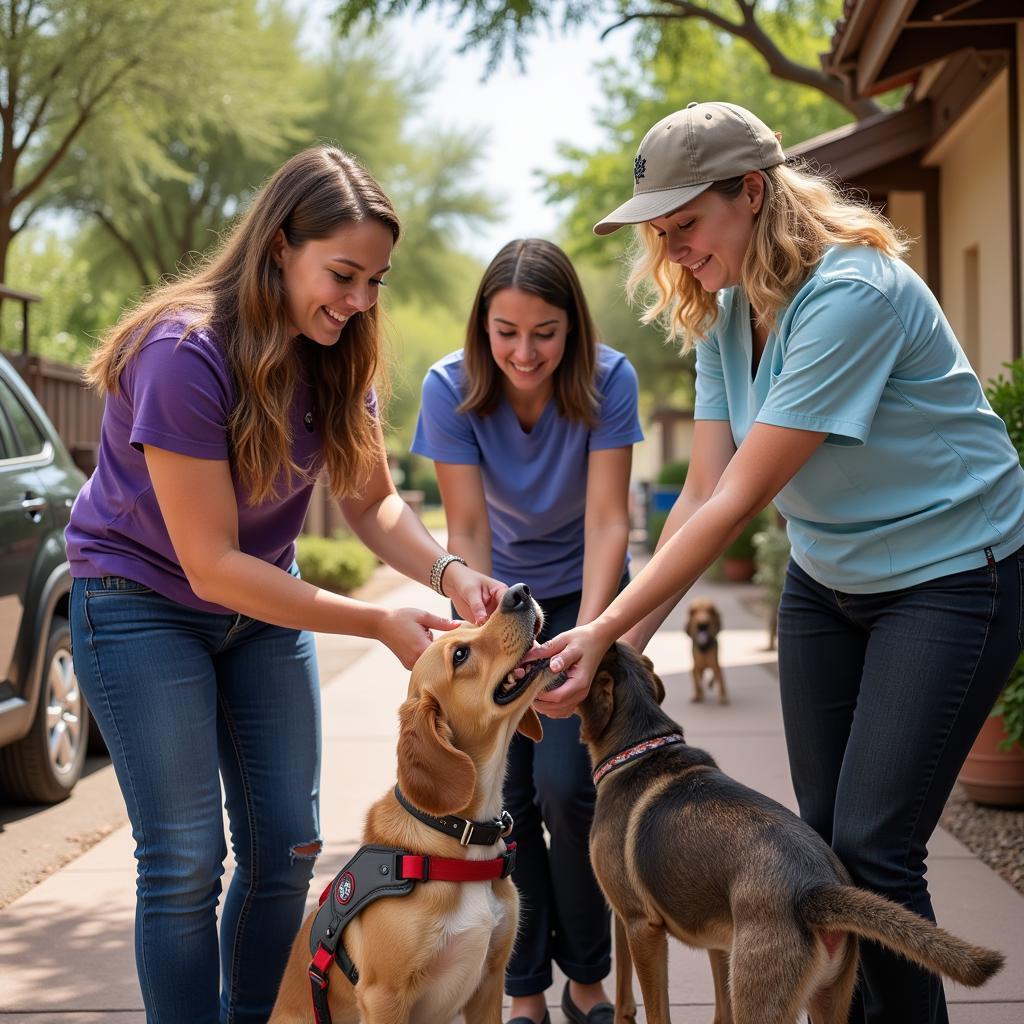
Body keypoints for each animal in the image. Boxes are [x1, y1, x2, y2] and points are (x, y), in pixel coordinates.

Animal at [268, 585, 565, 1024]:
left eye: (473, 622)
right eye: (459, 655)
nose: (518, 592)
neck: (460, 836)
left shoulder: (490, 982)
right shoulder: (384, 996)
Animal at [581, 643, 1003, 1024]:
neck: (640, 745)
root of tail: (815, 888)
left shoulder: (639, 926)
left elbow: (646, 1007)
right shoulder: (713, 940)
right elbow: (714, 1008)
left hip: (761, 998)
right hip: (827, 998)